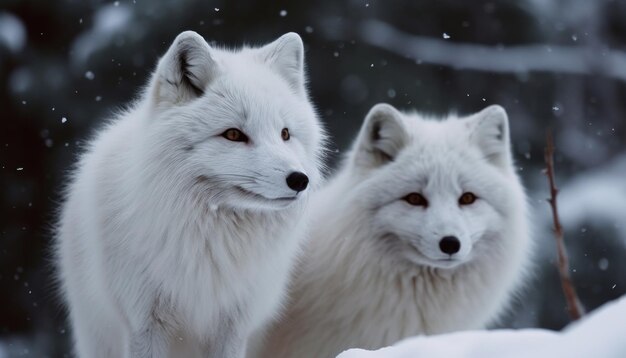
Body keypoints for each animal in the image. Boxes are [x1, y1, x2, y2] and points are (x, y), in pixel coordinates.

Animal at [56, 31, 324, 358]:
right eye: (233, 135)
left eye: (285, 134)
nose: (300, 180)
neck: (212, 239)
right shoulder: (144, 322)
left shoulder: (233, 326)